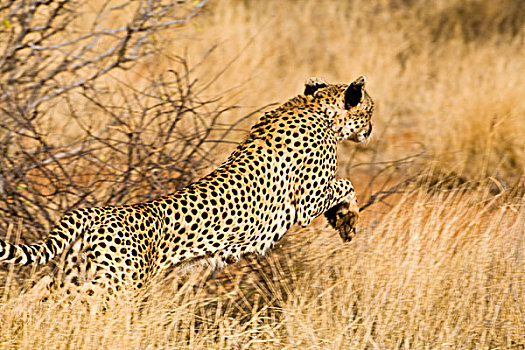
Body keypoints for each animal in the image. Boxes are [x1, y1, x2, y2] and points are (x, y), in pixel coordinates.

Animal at [2, 75, 374, 296]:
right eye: (369, 111)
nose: (370, 131)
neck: (316, 108)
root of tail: (96, 212)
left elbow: (341, 189)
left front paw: (340, 219)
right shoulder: (304, 204)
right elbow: (346, 184)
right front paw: (348, 219)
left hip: (78, 274)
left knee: (45, 293)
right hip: (115, 284)